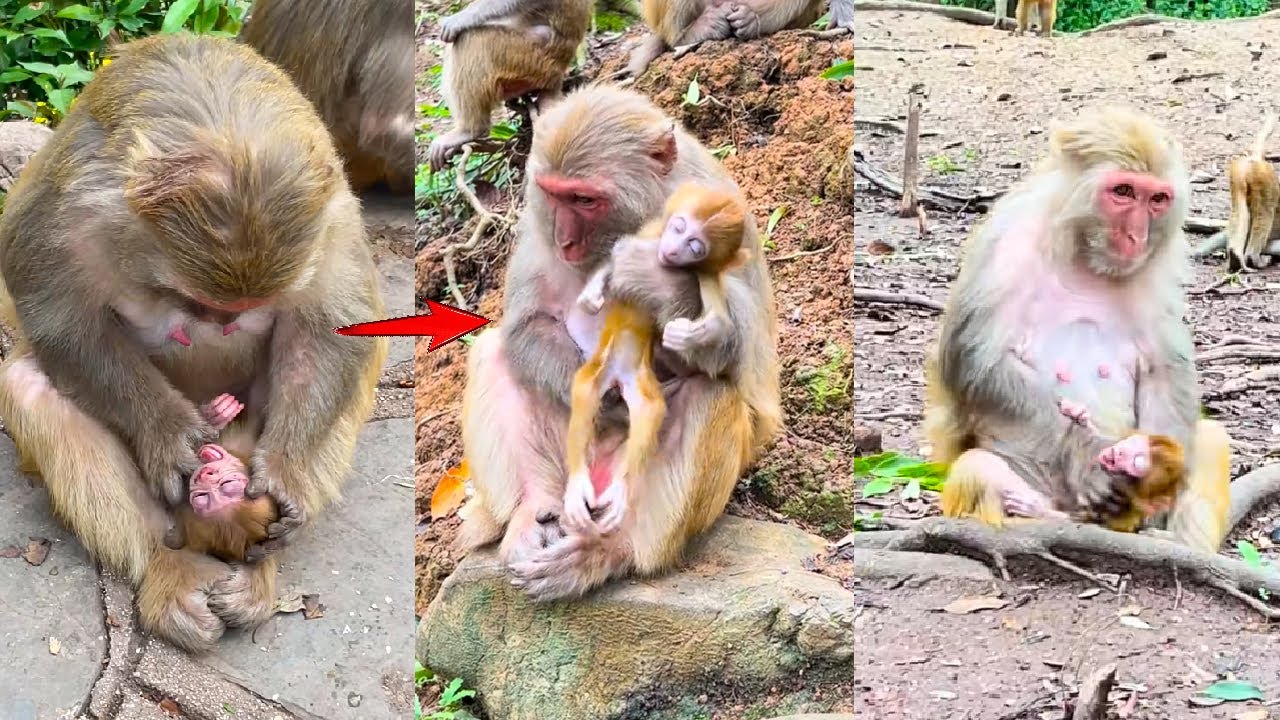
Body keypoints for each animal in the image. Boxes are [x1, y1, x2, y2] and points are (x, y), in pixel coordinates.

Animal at [0, 34, 389, 653]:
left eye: (240, 307)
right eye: (192, 298)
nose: (223, 323)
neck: (219, 114)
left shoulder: (332, 213)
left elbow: (336, 322)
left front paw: (283, 474)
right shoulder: (65, 209)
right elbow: (61, 320)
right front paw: (168, 434)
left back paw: (257, 563)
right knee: (30, 384)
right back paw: (168, 565)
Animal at [562, 182, 751, 534]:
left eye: (696, 246)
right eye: (678, 227)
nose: (673, 251)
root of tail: (618, 376)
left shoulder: (704, 273)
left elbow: (719, 321)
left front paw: (688, 335)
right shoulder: (651, 233)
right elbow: (617, 255)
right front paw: (592, 294)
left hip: (642, 386)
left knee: (649, 413)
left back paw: (620, 490)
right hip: (596, 373)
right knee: (584, 395)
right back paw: (579, 482)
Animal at [922, 106, 1234, 554]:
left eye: (1157, 199)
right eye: (1123, 191)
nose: (1136, 236)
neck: (1083, 252)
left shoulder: (1160, 266)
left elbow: (1164, 367)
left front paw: (1154, 475)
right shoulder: (1004, 240)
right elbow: (974, 362)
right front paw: (1085, 456)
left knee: (1210, 438)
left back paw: (1172, 538)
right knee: (978, 464)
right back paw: (1034, 514)